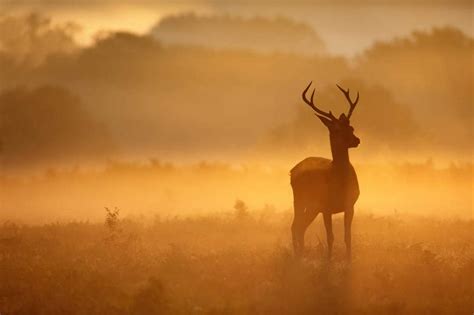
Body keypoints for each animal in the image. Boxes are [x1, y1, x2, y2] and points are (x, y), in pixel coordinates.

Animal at [288, 82, 360, 260]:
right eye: (336, 130)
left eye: (351, 127)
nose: (357, 140)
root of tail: (292, 171)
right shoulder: (326, 207)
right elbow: (330, 237)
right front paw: (328, 261)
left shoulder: (350, 205)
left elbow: (347, 237)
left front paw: (349, 261)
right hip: (299, 200)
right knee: (295, 226)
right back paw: (298, 256)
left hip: (312, 207)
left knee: (301, 226)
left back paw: (301, 254)